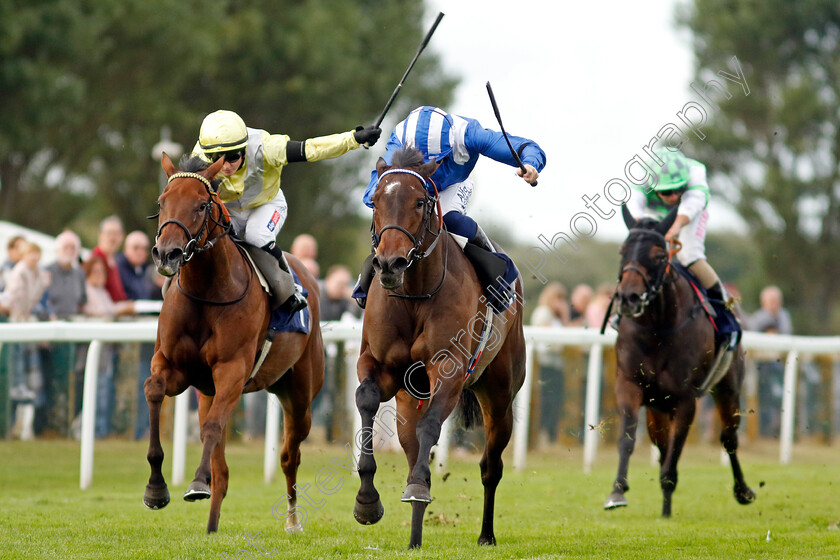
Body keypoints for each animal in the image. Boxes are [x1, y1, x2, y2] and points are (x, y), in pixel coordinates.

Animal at [143, 153, 324, 532]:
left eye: (200, 205)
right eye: (162, 202)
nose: (166, 254)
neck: (207, 291)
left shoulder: (232, 371)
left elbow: (212, 429)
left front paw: (196, 481)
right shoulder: (174, 367)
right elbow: (154, 390)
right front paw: (157, 488)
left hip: (300, 394)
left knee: (290, 455)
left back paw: (293, 520)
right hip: (209, 391)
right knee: (224, 468)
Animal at [350, 147, 524, 548]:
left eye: (419, 202)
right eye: (375, 201)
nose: (389, 263)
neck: (415, 292)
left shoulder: (449, 370)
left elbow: (431, 426)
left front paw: (413, 489)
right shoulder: (379, 366)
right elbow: (366, 400)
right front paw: (367, 502)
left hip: (499, 394)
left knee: (490, 467)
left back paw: (486, 534)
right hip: (407, 400)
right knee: (413, 448)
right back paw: (415, 535)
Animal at [604, 205, 756, 516]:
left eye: (659, 256)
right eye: (623, 250)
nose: (628, 298)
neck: (658, 329)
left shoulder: (685, 400)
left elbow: (675, 455)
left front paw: (665, 506)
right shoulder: (629, 385)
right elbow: (628, 439)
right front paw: (617, 492)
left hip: (727, 387)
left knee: (729, 438)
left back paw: (743, 491)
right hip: (657, 408)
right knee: (662, 445)